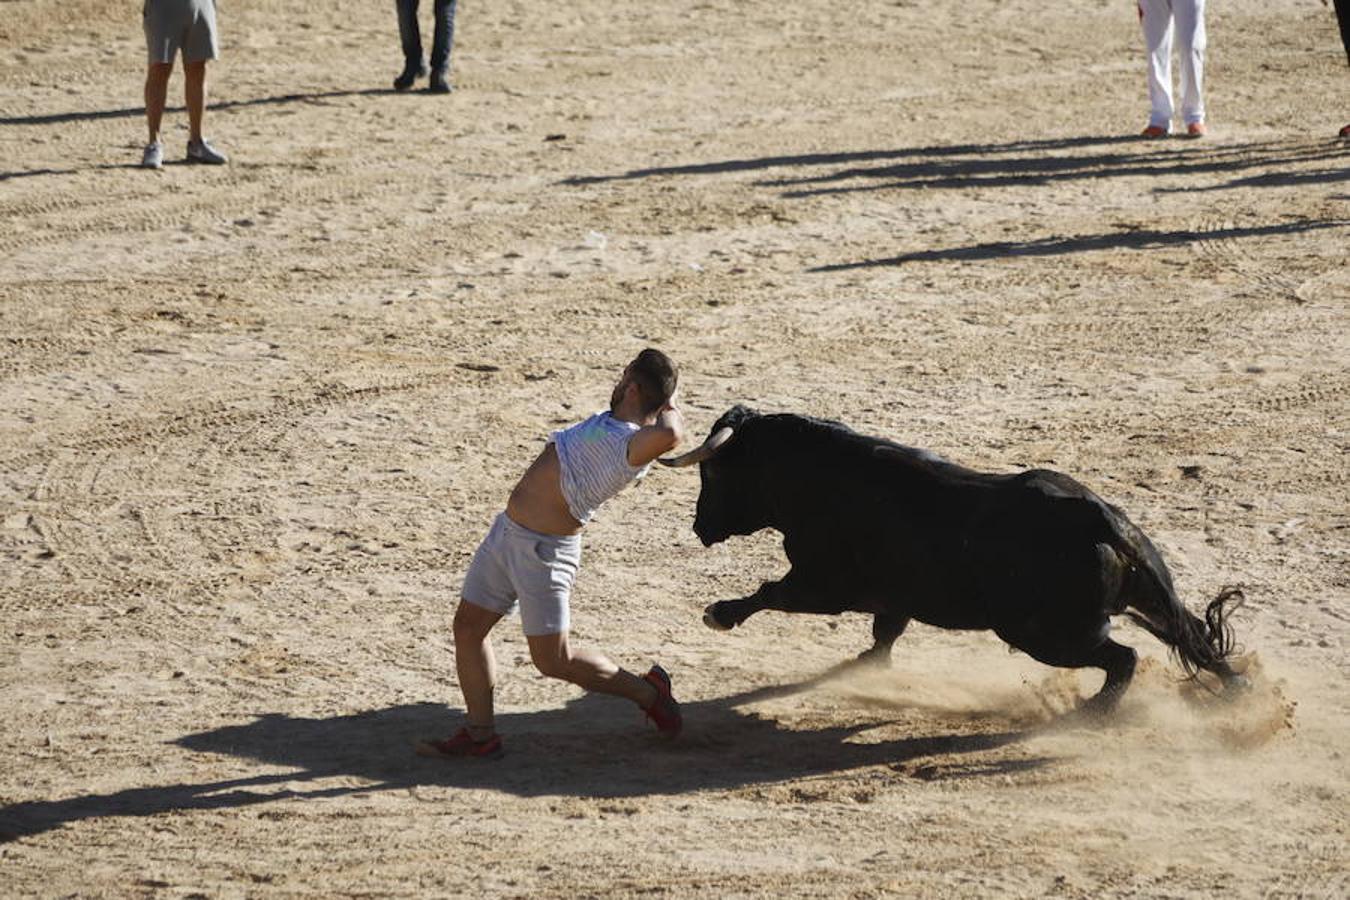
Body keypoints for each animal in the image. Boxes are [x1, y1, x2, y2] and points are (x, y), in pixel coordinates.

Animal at [661, 407, 1242, 712]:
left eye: (713, 473)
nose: (699, 527)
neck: (817, 475)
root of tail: (1098, 517)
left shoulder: (822, 585)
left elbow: (769, 592)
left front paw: (719, 614)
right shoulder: (893, 596)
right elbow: (885, 632)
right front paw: (864, 666)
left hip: (1044, 635)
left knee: (1124, 657)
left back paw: (1092, 712)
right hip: (1136, 600)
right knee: (1193, 637)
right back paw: (1242, 694)